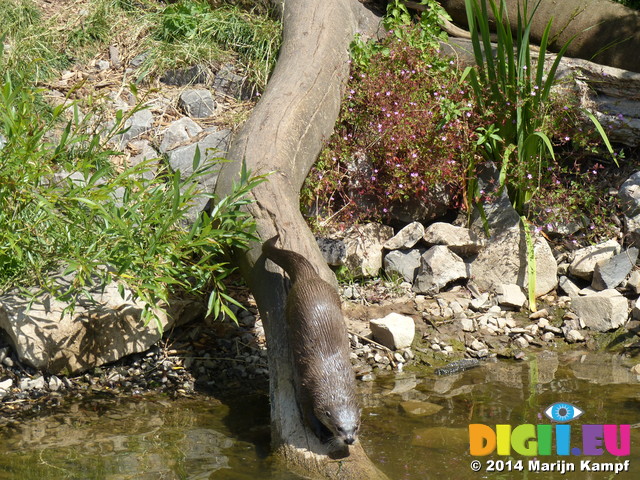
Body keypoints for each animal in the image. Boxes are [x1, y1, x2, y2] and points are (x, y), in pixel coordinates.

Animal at [260, 235, 360, 446]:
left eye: (355, 427)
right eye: (338, 427)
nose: (349, 440)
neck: (332, 378)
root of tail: (310, 278)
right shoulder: (306, 389)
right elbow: (308, 415)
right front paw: (321, 433)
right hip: (291, 303)